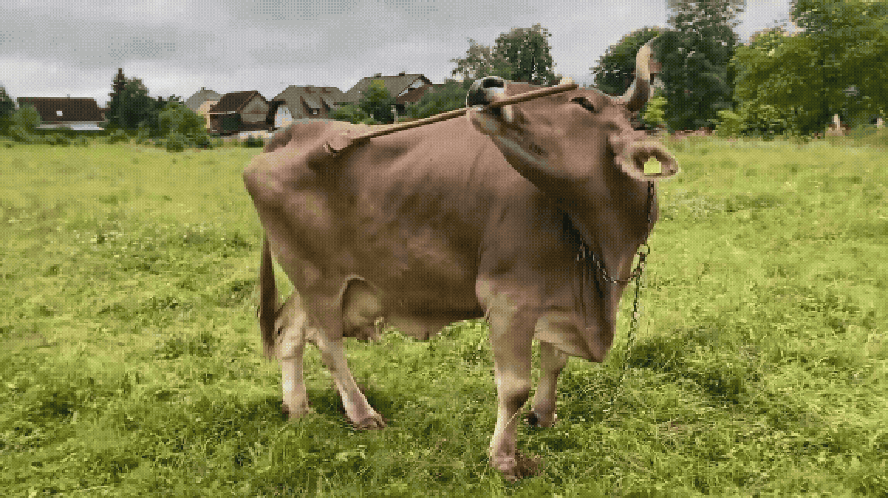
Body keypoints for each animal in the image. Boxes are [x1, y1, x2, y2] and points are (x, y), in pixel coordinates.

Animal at [242, 41, 678, 480]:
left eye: (583, 103)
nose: (486, 84)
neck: (601, 255)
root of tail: (293, 132)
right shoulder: (508, 299)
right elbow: (514, 387)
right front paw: (504, 459)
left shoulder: (560, 297)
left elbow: (555, 361)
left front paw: (543, 416)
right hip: (318, 278)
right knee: (328, 344)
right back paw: (362, 414)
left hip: (317, 280)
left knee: (290, 332)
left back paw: (297, 408)